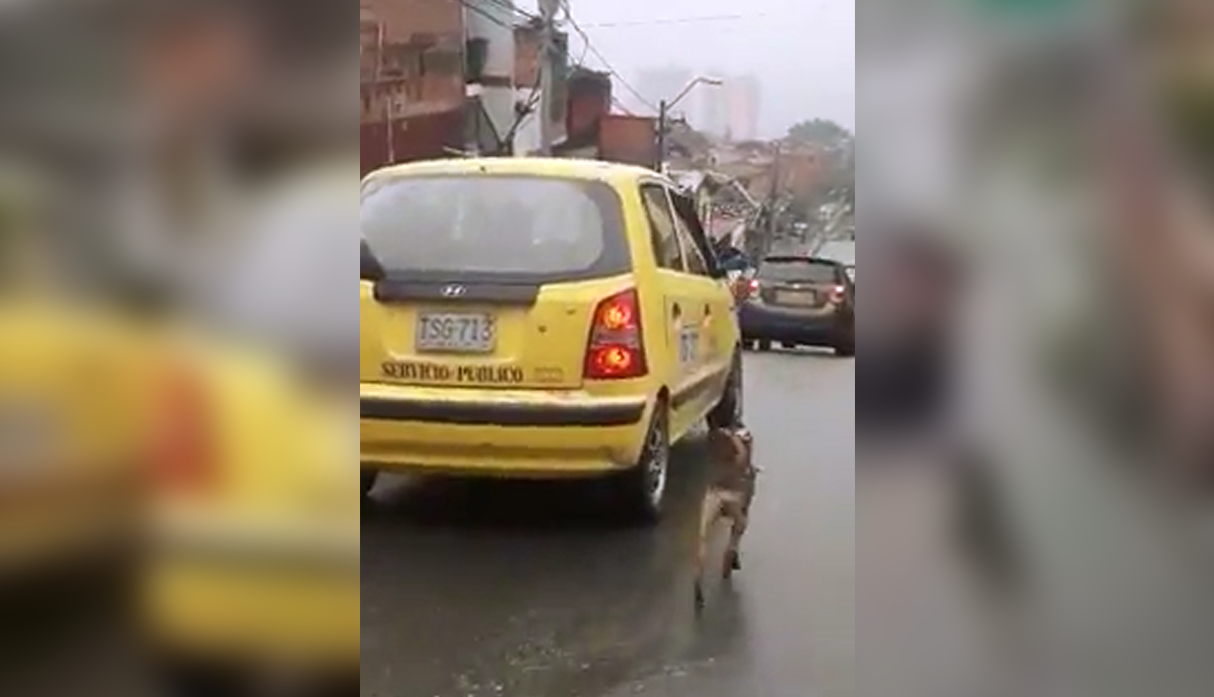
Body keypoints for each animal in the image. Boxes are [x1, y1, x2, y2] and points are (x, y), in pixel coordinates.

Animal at [699, 427, 752, 612]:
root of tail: (720, 496)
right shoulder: (743, 514)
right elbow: (733, 545)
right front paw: (734, 562)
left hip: (704, 524)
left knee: (701, 558)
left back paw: (698, 594)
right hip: (737, 517)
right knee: (730, 546)